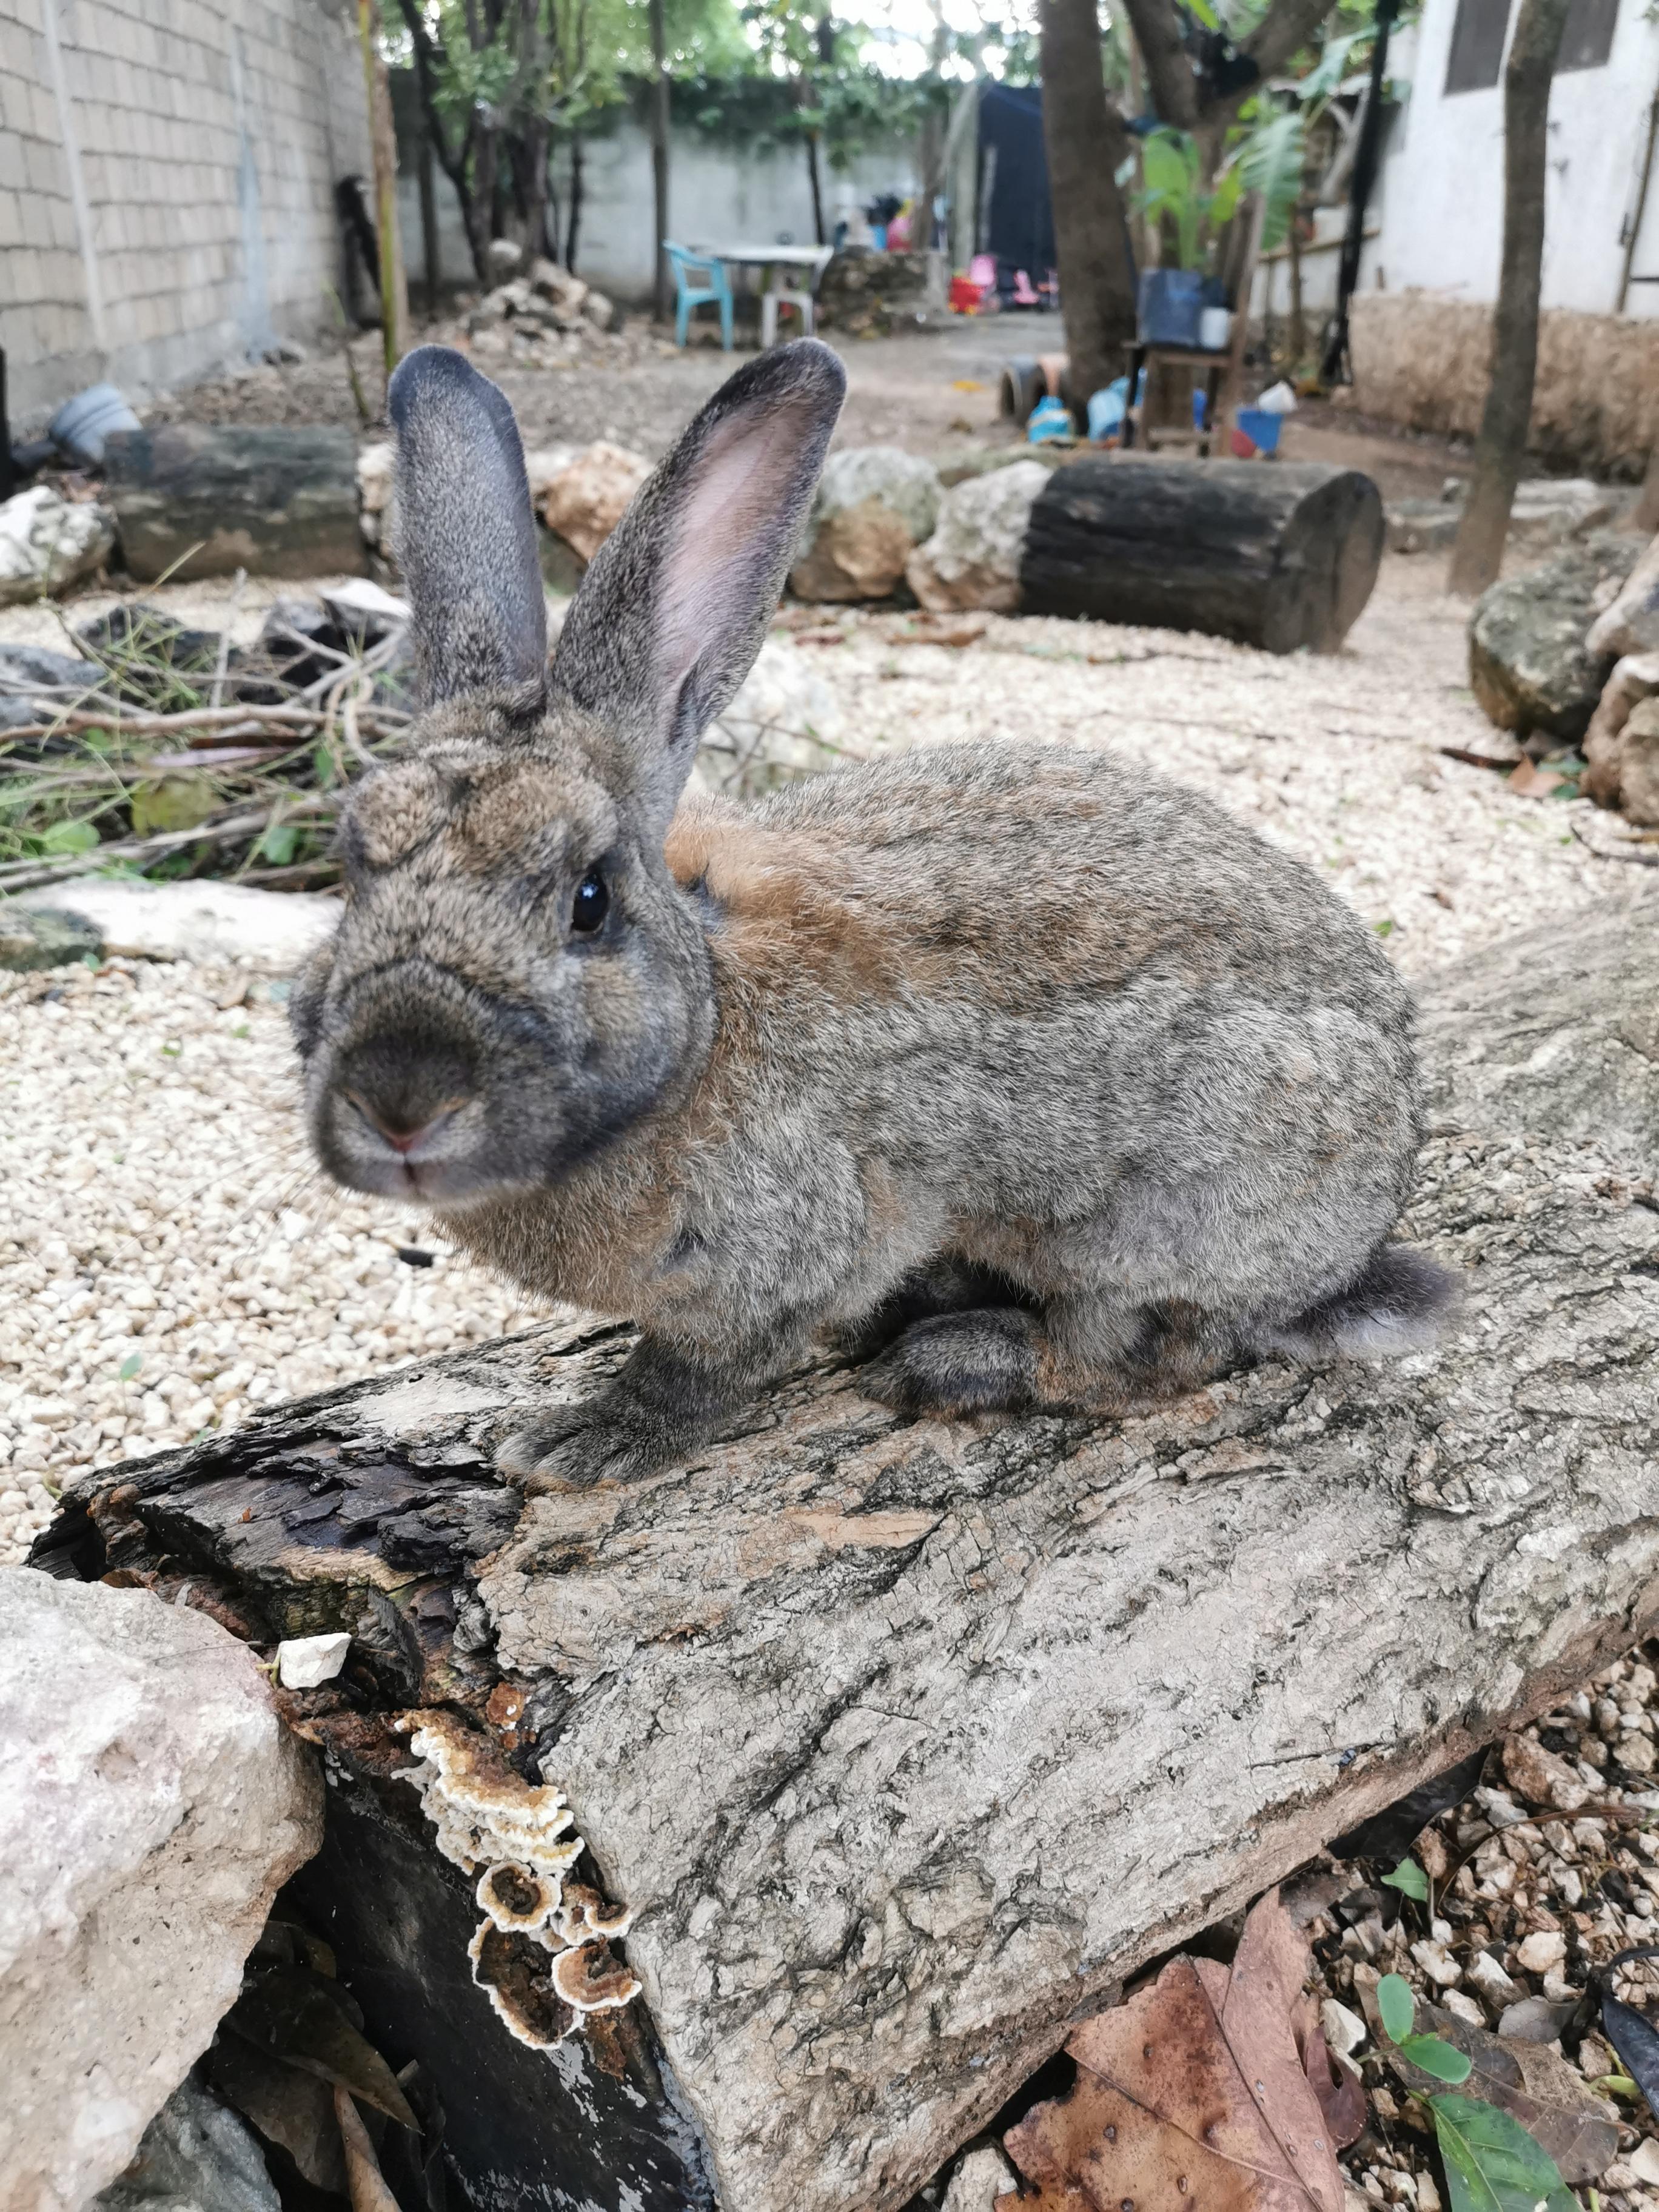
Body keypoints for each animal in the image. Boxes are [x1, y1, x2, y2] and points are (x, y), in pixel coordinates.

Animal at [290, 337, 1457, 1494]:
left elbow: (697, 1372)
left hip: (1155, 1222)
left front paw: (580, 1444)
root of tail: (1360, 1226)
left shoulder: (780, 1260)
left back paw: (955, 1358)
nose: (401, 1101)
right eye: (349, 868)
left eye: (589, 900)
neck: (702, 1027)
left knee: (1145, 1354)